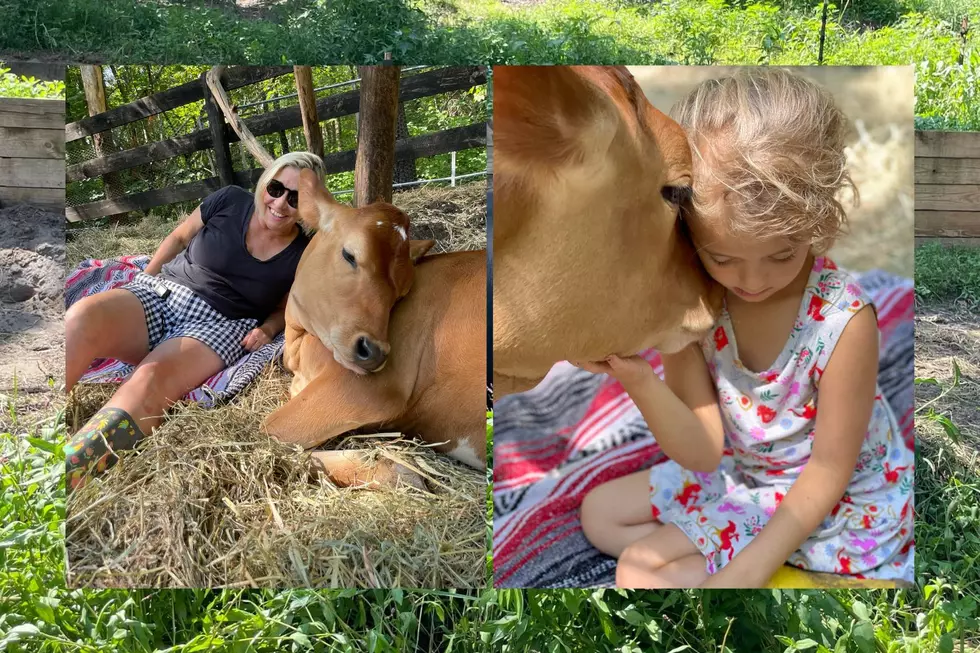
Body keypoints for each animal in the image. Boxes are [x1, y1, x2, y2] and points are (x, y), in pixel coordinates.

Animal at [262, 171, 488, 486]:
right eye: (349, 255)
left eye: (402, 294)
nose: (375, 351)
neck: (299, 347)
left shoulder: (368, 392)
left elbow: (270, 432)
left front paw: (399, 469)